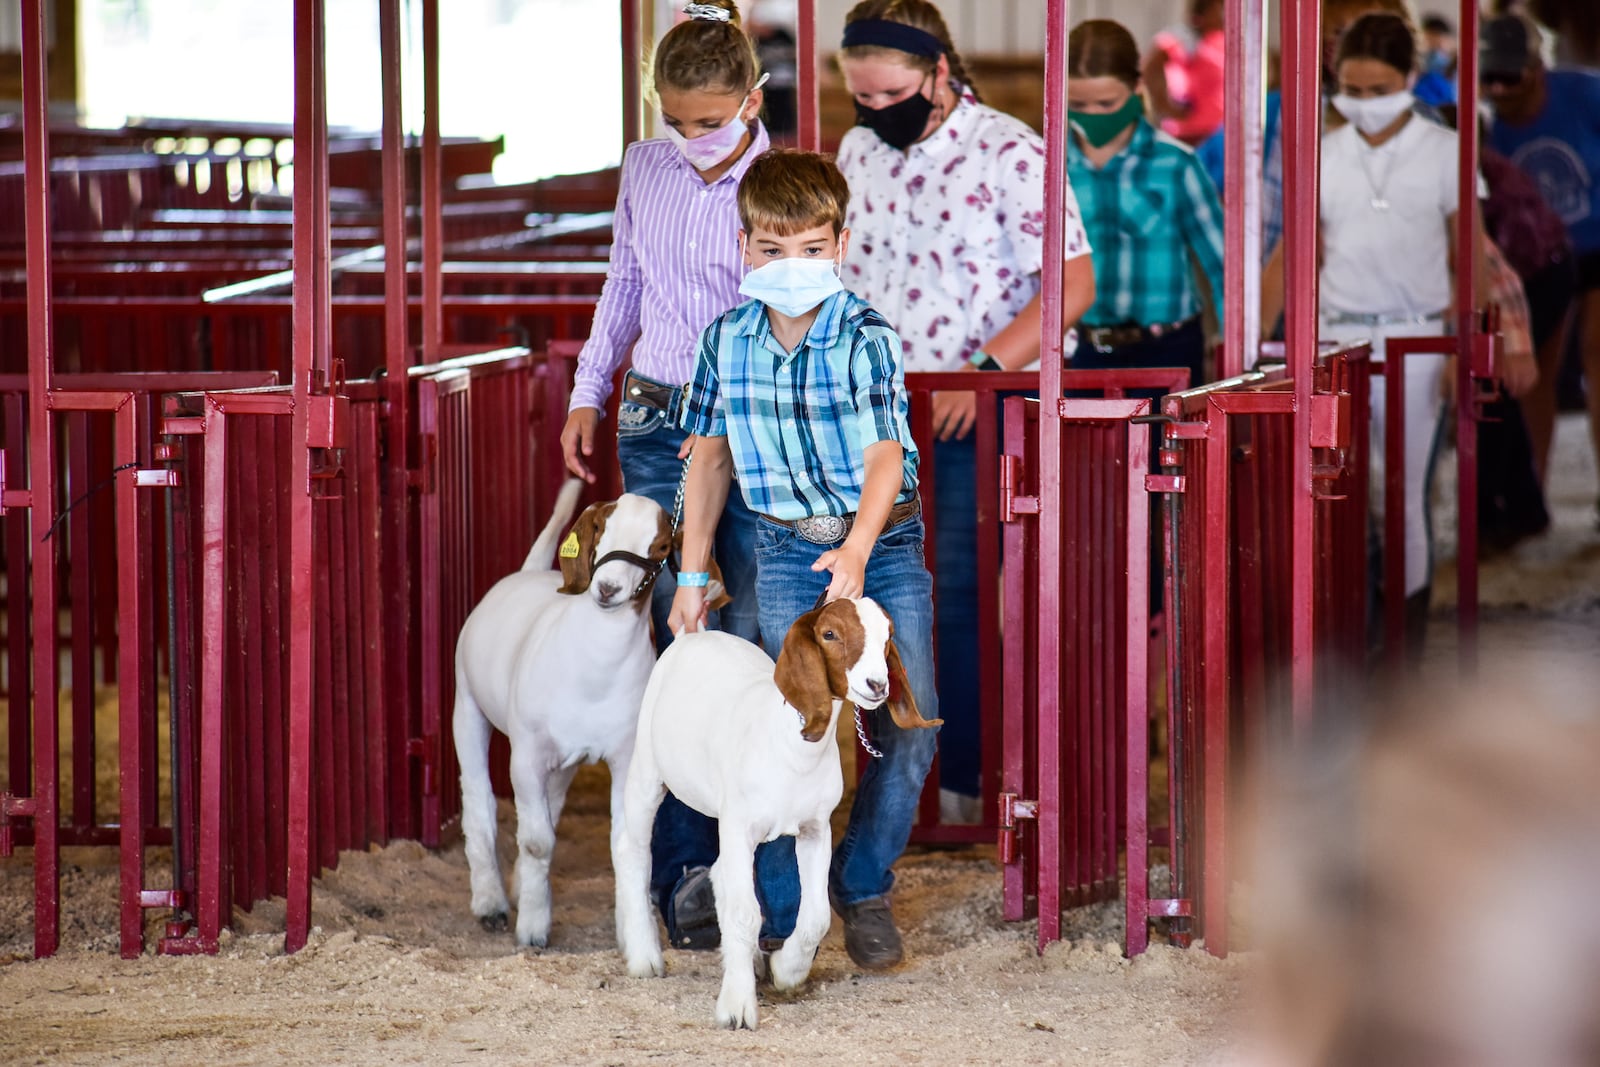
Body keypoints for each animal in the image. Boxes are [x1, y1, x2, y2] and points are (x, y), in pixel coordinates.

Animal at [451, 479, 713, 947]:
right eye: (600, 529)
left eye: (661, 546)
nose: (607, 588)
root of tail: (529, 571)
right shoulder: (527, 754)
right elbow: (537, 842)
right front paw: (533, 928)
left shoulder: (625, 759)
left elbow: (625, 843)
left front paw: (632, 929)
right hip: (468, 705)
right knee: (480, 799)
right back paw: (490, 902)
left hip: (562, 763)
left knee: (550, 807)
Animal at [611, 598, 934, 1030]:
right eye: (830, 634)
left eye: (888, 634)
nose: (877, 685)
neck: (788, 743)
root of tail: (693, 634)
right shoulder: (739, 827)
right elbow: (745, 913)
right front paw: (736, 1006)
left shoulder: (815, 829)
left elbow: (816, 916)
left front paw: (787, 970)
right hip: (647, 768)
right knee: (632, 849)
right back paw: (644, 956)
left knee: (718, 873)